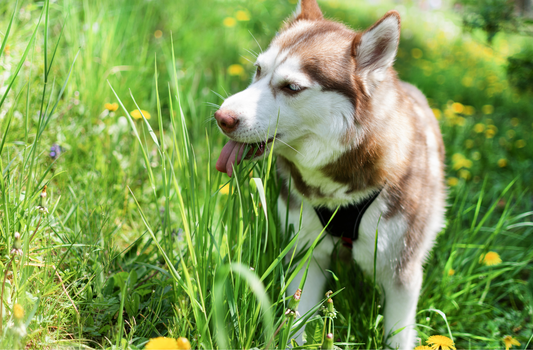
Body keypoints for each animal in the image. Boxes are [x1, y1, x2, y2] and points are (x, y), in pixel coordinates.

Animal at [214, 0, 442, 348]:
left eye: (292, 87)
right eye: (258, 70)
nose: (221, 117)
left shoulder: (401, 272)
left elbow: (398, 333)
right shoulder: (306, 253)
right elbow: (296, 320)